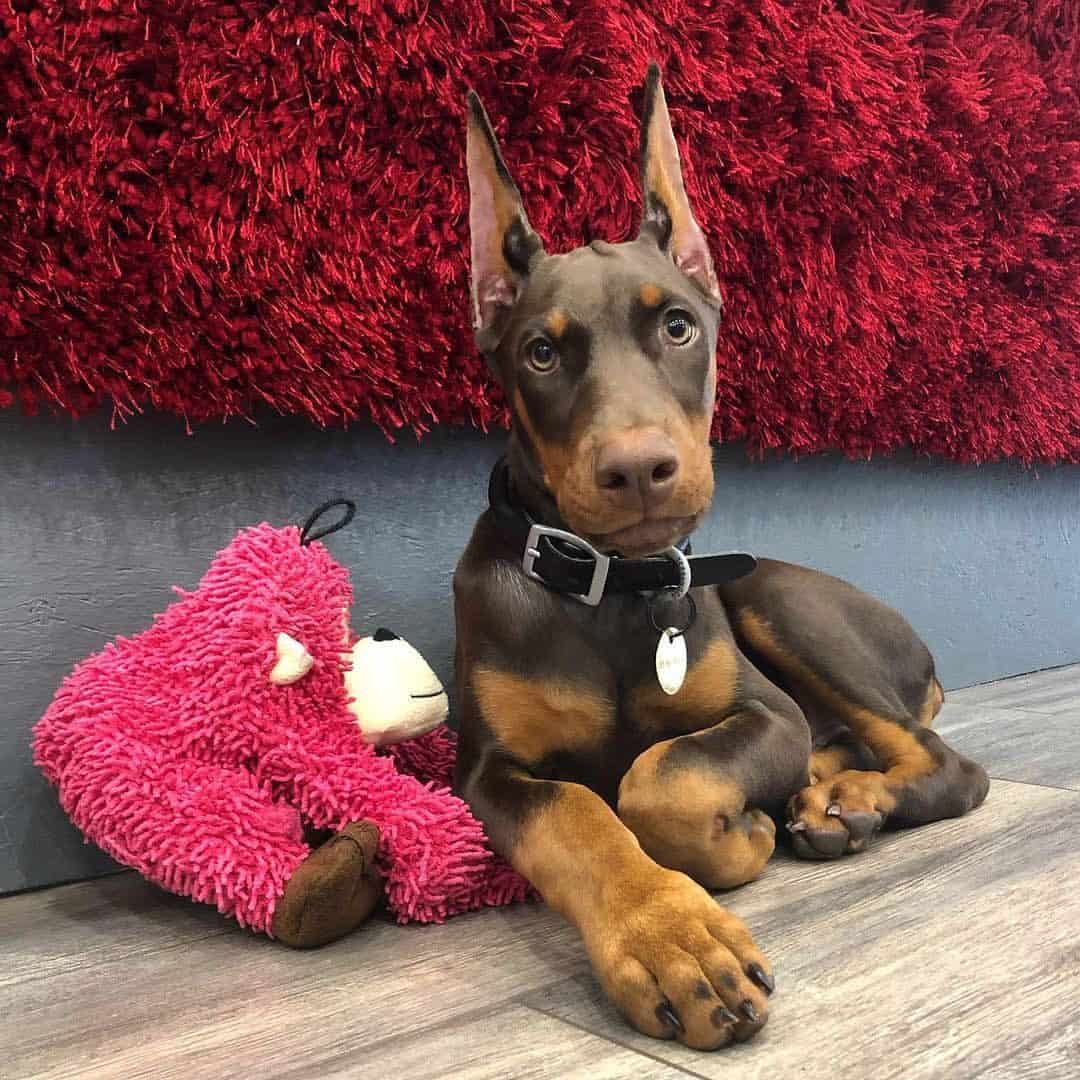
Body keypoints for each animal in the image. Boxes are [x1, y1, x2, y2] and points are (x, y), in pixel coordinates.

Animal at [447, 63, 989, 1049]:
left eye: (677, 328)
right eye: (540, 352)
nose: (638, 469)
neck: (614, 588)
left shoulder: (764, 711)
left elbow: (661, 779)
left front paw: (725, 859)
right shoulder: (488, 770)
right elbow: (582, 813)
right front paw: (670, 940)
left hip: (781, 601)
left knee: (947, 763)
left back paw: (849, 800)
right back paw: (827, 794)